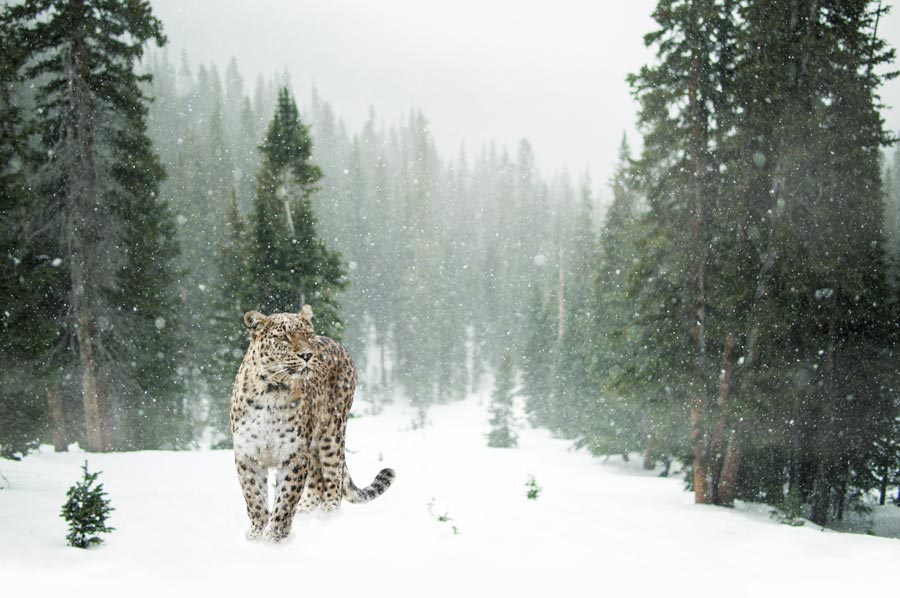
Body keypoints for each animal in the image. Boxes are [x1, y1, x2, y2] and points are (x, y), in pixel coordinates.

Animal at [230, 304, 395, 542]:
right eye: (284, 337)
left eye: (307, 334)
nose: (307, 355)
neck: (272, 391)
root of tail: (337, 343)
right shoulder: (248, 454)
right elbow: (254, 498)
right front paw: (257, 535)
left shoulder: (294, 454)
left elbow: (286, 498)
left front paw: (275, 537)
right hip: (315, 445)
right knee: (317, 481)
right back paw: (306, 511)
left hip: (331, 433)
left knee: (333, 477)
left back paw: (328, 517)